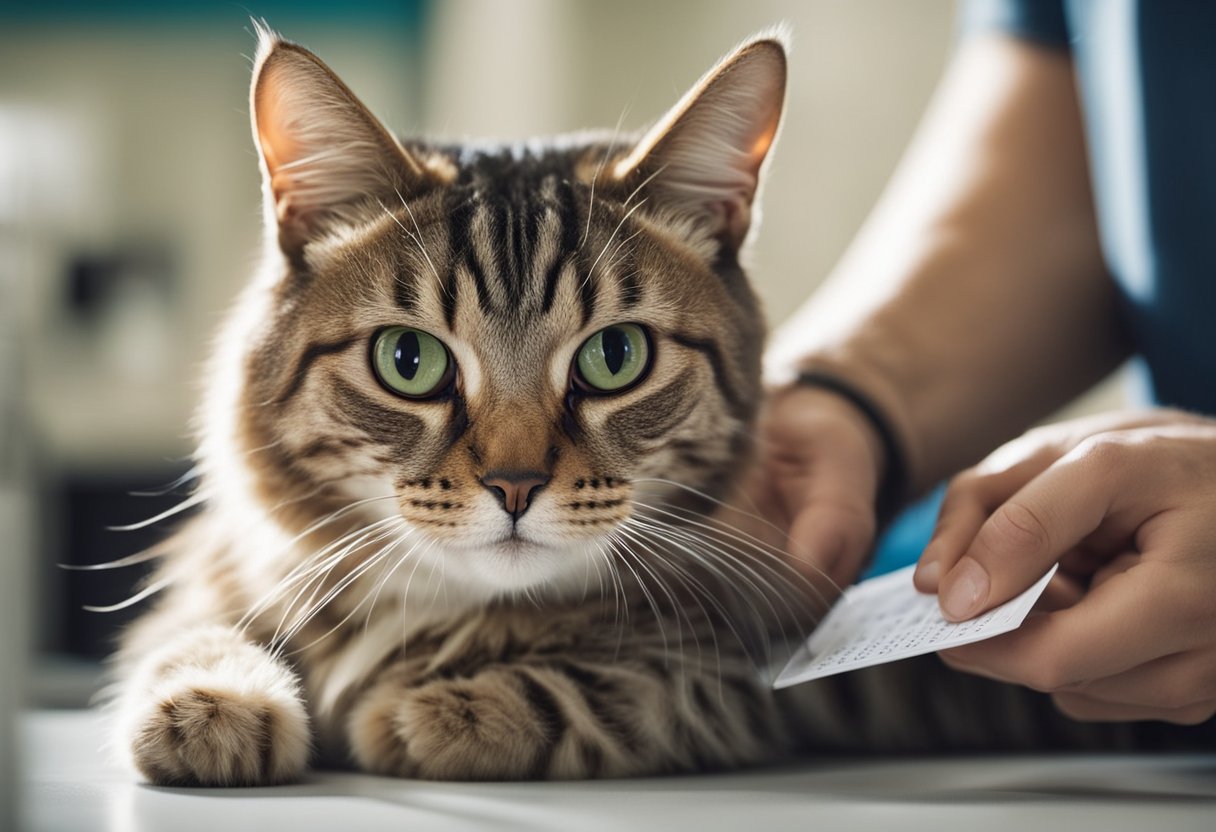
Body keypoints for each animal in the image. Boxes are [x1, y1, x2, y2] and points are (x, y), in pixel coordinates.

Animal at [111, 21, 1206, 788]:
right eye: (410, 361)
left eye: (615, 357)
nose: (515, 484)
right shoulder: (206, 575)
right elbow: (189, 632)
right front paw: (211, 702)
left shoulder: (730, 686)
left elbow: (591, 689)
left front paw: (422, 710)